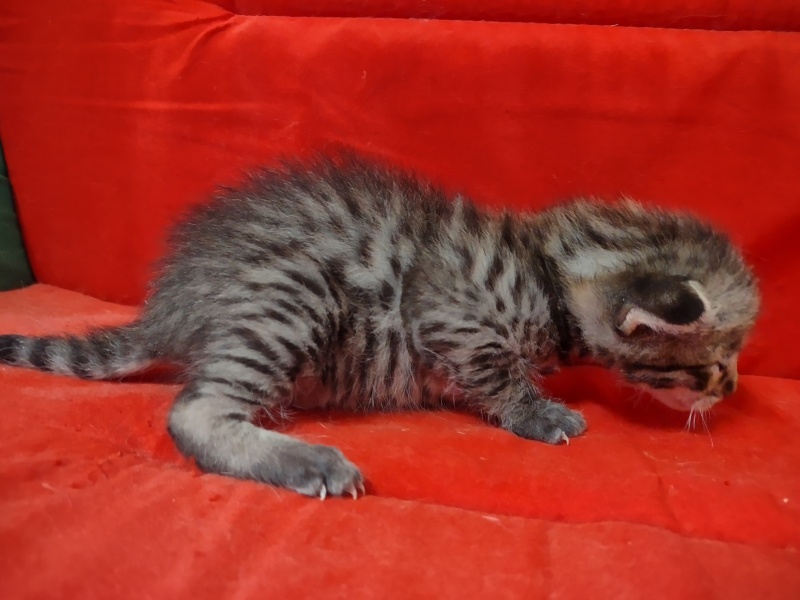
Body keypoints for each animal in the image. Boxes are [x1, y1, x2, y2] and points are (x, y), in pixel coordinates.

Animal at [0, 153, 759, 499]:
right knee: (194, 413)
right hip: (292, 294)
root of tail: (172, 301)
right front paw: (541, 412)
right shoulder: (450, 314)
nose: (728, 391)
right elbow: (497, 374)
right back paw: (309, 461)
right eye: (717, 360)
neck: (544, 265)